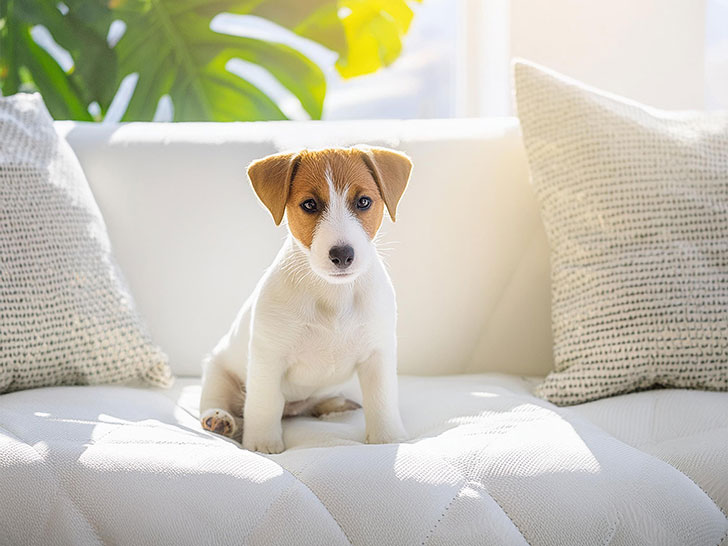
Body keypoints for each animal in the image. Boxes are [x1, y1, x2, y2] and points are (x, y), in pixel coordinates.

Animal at [199, 147, 412, 452]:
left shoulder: (377, 354)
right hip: (218, 371)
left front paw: (388, 437)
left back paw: (334, 404)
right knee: (217, 400)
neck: (333, 294)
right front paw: (262, 443)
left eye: (363, 201)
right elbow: (264, 403)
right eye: (310, 204)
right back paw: (219, 419)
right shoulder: (268, 356)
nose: (343, 254)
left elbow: (381, 399)